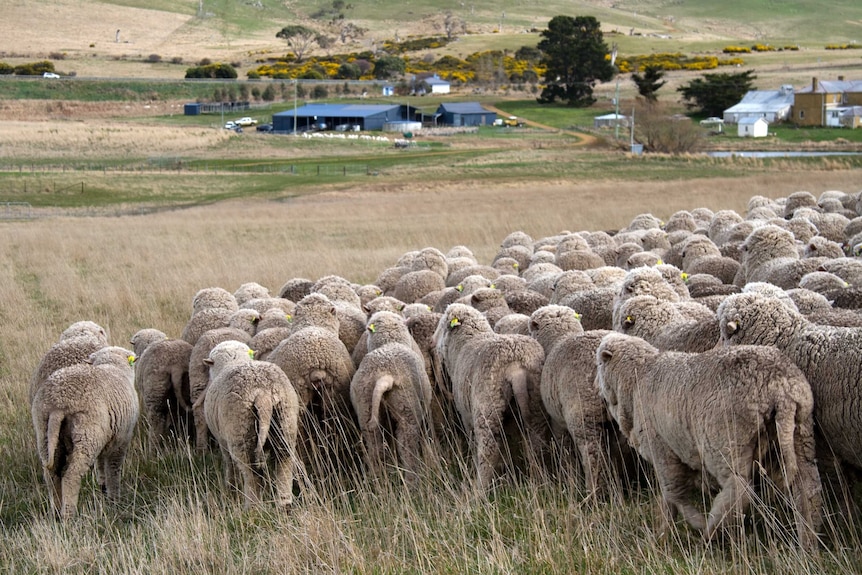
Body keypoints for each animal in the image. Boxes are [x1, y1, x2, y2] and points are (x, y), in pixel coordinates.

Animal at [30, 346, 138, 520]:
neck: (113, 366)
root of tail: (58, 402)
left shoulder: (106, 437)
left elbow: (101, 464)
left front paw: (103, 487)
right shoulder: (121, 440)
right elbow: (113, 469)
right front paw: (114, 498)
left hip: (45, 432)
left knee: (52, 475)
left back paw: (56, 512)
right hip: (87, 435)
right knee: (71, 476)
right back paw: (68, 516)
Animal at [202, 342, 300, 508]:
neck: (233, 361)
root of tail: (262, 392)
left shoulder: (223, 442)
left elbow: (230, 465)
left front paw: (231, 488)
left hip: (241, 432)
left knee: (252, 474)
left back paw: (252, 508)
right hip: (286, 424)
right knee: (283, 465)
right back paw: (284, 504)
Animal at [350, 312, 432, 480]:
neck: (390, 342)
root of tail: (385, 376)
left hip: (365, 407)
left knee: (375, 447)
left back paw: (376, 478)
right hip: (407, 410)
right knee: (407, 448)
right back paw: (413, 479)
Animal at [436, 304, 552, 488]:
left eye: (441, 327)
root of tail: (516, 365)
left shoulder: (467, 416)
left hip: (487, 408)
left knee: (488, 450)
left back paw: (479, 488)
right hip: (535, 405)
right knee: (536, 444)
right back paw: (537, 481)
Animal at [596, 332, 828, 548]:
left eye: (598, 363)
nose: (595, 386)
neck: (637, 379)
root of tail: (780, 390)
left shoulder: (661, 447)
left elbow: (673, 493)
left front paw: (678, 527)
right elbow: (670, 496)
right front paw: (663, 531)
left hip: (724, 440)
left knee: (739, 489)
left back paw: (710, 531)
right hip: (801, 431)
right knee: (808, 489)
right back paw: (808, 543)